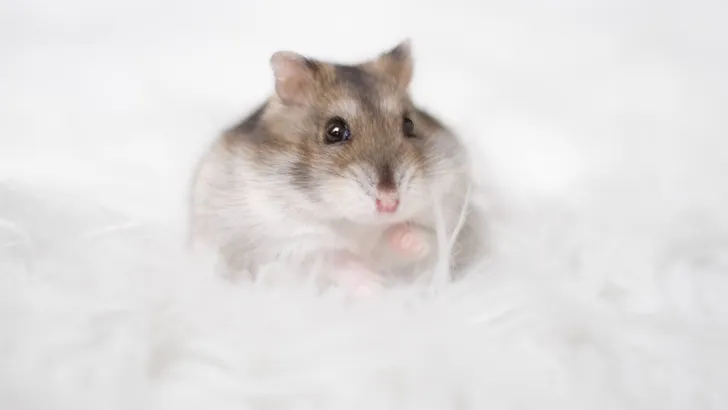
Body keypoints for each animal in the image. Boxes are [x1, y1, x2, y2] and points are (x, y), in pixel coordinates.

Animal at [189, 40, 483, 289]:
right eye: (335, 131)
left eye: (409, 125)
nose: (389, 203)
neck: (358, 224)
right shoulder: (285, 242)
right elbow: (331, 258)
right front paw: (374, 284)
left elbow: (426, 239)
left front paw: (401, 238)